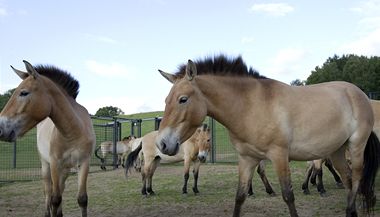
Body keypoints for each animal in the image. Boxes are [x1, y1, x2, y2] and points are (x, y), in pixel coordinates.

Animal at [0, 61, 95, 217]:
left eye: (23, 92)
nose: (1, 128)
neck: (74, 131)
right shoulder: (55, 164)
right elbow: (54, 199)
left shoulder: (84, 163)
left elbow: (82, 199)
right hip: (46, 166)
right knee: (48, 193)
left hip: (65, 170)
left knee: (60, 189)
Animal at [155, 55, 380, 217]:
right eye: (166, 100)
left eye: (183, 99)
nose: (162, 144)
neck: (251, 105)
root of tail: (358, 93)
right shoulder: (247, 159)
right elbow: (240, 197)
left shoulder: (279, 156)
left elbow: (288, 196)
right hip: (337, 151)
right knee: (348, 180)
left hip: (356, 147)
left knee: (357, 177)